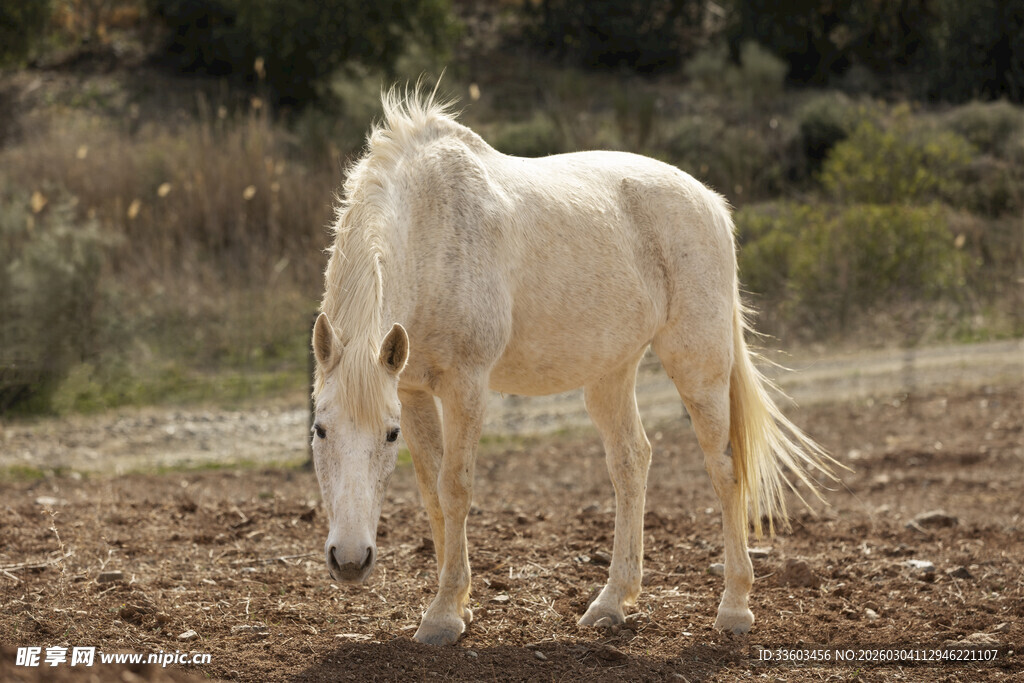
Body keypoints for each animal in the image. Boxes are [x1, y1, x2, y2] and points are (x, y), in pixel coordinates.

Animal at [310, 86, 836, 646]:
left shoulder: (465, 386)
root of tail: (711, 203)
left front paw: (444, 615)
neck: (430, 230)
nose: (350, 561)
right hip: (611, 372)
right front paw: (458, 605)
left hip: (698, 365)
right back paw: (612, 602)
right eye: (320, 430)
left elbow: (456, 488)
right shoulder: (411, 389)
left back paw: (734, 606)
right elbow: (432, 490)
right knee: (632, 461)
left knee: (725, 467)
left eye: (387, 436)